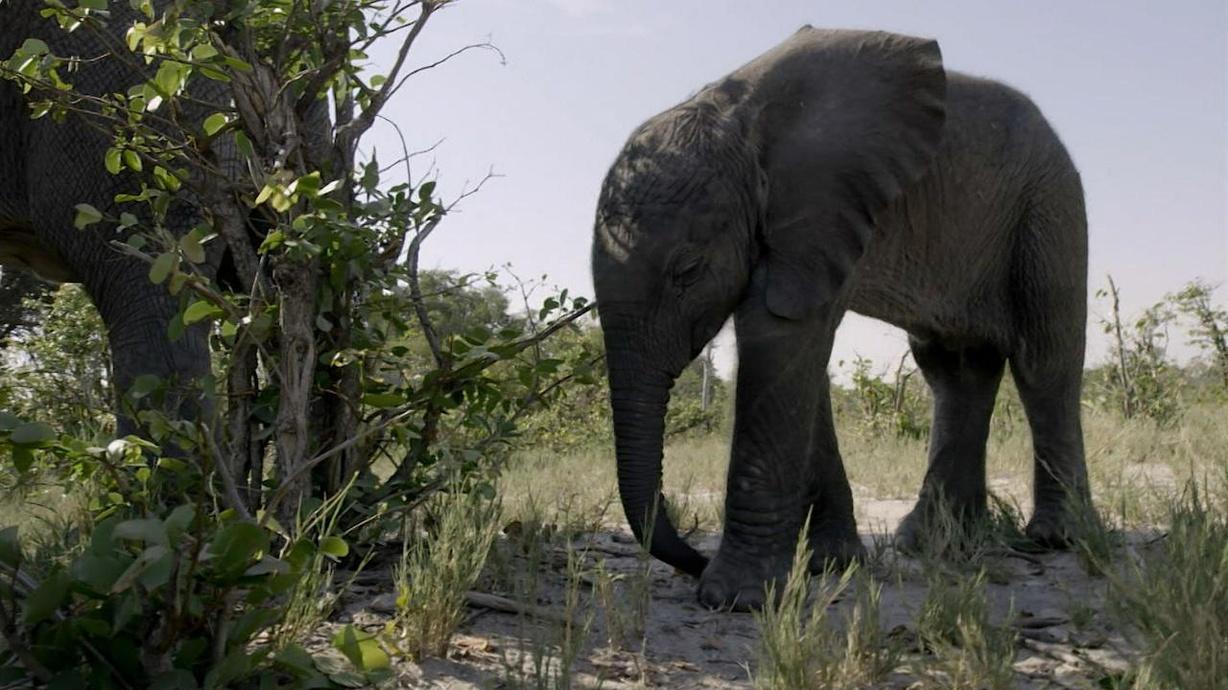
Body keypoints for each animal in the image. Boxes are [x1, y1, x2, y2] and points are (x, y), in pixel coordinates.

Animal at [592, 26, 1090, 610]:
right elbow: (801, 360)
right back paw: (934, 544)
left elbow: (779, 337)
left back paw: (1056, 539)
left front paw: (737, 599)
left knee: (1044, 360)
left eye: (687, 271)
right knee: (954, 370)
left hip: (1049, 204)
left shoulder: (823, 207)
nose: (691, 559)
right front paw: (831, 565)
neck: (736, 122)